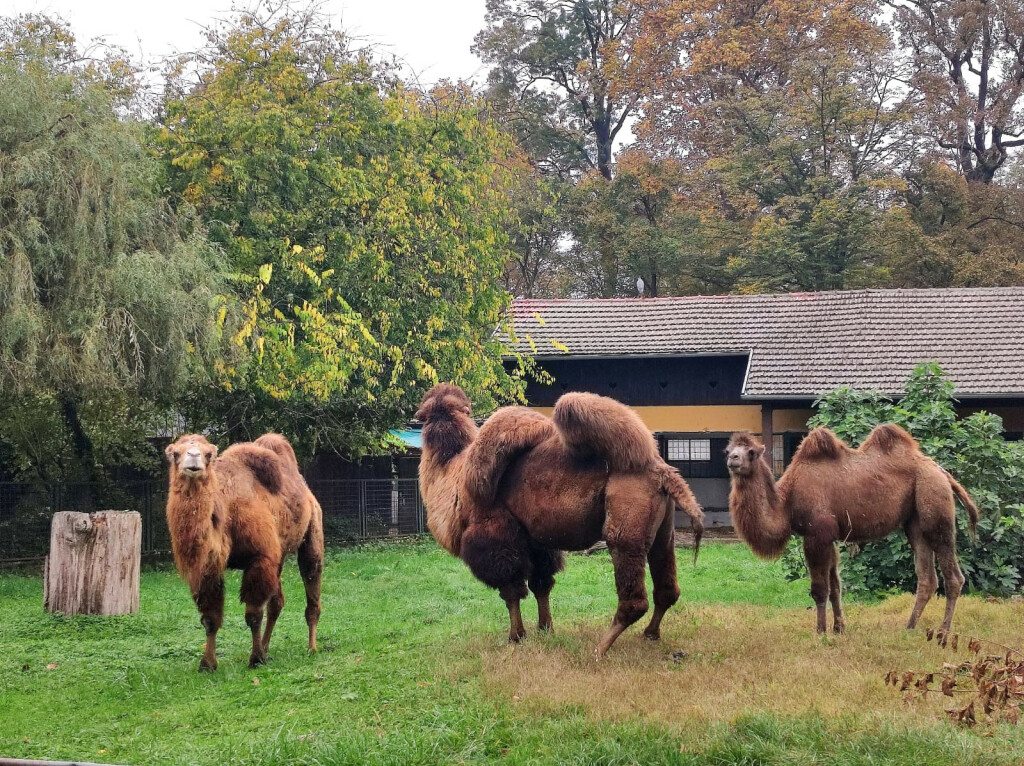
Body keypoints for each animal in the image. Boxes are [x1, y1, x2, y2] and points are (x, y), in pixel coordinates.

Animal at [164, 434, 323, 671]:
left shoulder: (260, 557)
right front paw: (207, 664)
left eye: (208, 455)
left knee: (311, 581)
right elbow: (210, 618)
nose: (193, 458)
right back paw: (267, 647)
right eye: (176, 453)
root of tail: (306, 490)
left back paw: (311, 648)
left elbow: (253, 614)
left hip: (313, 530)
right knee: (277, 602)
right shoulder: (208, 568)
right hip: (279, 555)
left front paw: (255, 659)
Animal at [415, 383, 704, 659]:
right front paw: (546, 629)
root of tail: (662, 472)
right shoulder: (537, 541)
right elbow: (541, 585)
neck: (451, 473)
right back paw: (650, 634)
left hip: (625, 527)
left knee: (634, 599)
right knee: (667, 588)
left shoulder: (495, 538)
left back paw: (600, 649)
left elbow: (511, 591)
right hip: (663, 532)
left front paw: (516, 636)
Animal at [724, 423, 978, 634]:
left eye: (751, 452)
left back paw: (943, 632)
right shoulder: (830, 537)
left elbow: (819, 589)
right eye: (728, 450)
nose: (733, 460)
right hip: (915, 520)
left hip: (934, 501)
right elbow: (836, 586)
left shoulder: (817, 534)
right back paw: (910, 626)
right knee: (926, 576)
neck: (787, 503)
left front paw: (820, 632)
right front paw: (839, 628)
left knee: (952, 573)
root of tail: (942, 472)